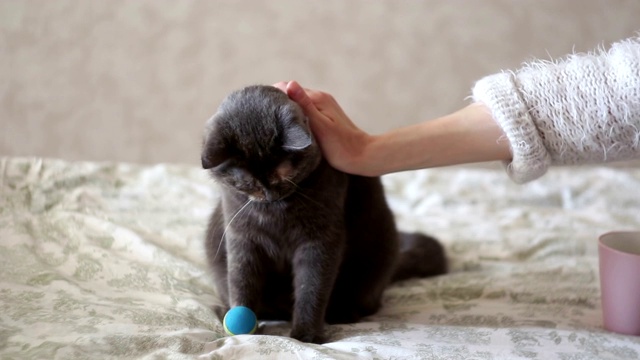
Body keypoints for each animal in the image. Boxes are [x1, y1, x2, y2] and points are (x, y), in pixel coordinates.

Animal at [200, 85, 444, 344]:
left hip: (378, 247)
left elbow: (311, 287)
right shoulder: (242, 238)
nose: (270, 195)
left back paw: (343, 313)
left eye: (284, 175)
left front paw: (306, 336)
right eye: (247, 182)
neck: (277, 211)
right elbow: (242, 281)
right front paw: (243, 329)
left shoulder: (319, 240)